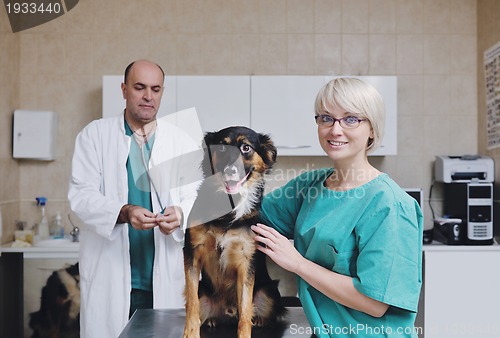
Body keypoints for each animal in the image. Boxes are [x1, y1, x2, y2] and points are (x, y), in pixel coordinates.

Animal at [183, 126, 286, 338]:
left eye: (246, 148)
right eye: (221, 147)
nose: (230, 170)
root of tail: (228, 311)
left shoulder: (246, 259)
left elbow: (245, 311)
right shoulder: (192, 251)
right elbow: (192, 304)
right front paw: (190, 333)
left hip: (269, 292)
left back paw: (259, 319)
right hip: (204, 292)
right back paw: (212, 320)